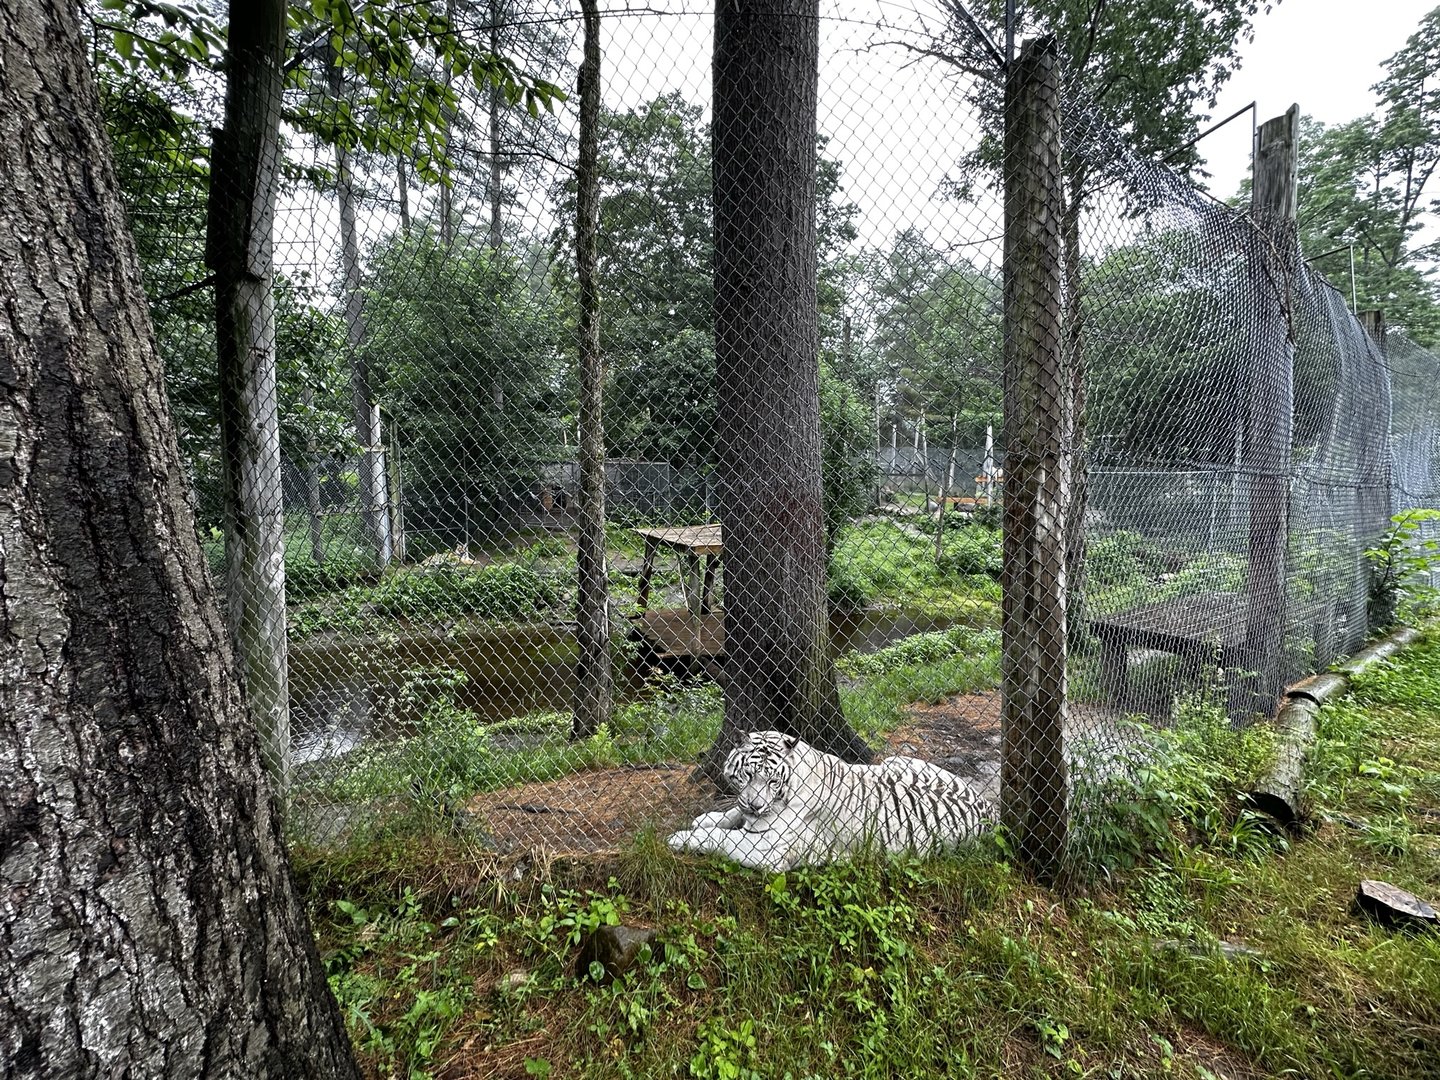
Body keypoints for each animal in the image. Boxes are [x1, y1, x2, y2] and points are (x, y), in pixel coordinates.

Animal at [667, 730, 993, 872]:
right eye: (747, 775)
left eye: (772, 782)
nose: (756, 805)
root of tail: (989, 807)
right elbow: (733, 813)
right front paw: (705, 819)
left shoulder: (768, 850)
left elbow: (722, 838)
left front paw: (680, 837)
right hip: (895, 760)